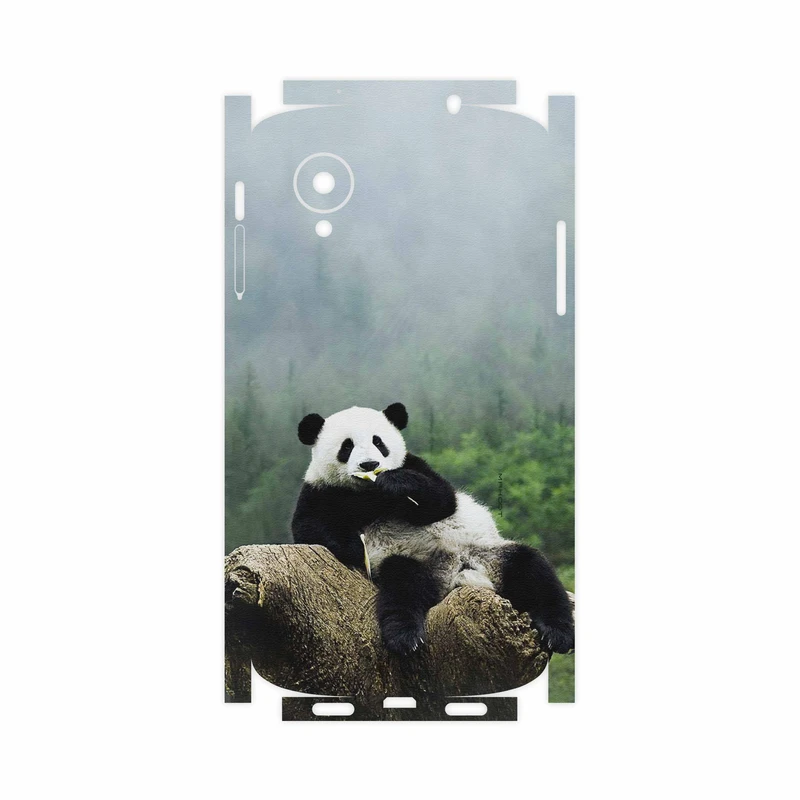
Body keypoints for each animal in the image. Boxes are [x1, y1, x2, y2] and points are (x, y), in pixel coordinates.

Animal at [292, 403, 575, 656]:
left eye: (379, 442)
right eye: (347, 446)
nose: (370, 465)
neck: (368, 493)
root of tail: (459, 573)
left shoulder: (416, 465)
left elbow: (442, 500)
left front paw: (396, 483)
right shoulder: (321, 491)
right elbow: (309, 528)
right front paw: (353, 547)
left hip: (490, 553)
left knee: (533, 569)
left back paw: (558, 633)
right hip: (415, 563)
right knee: (403, 586)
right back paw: (405, 637)